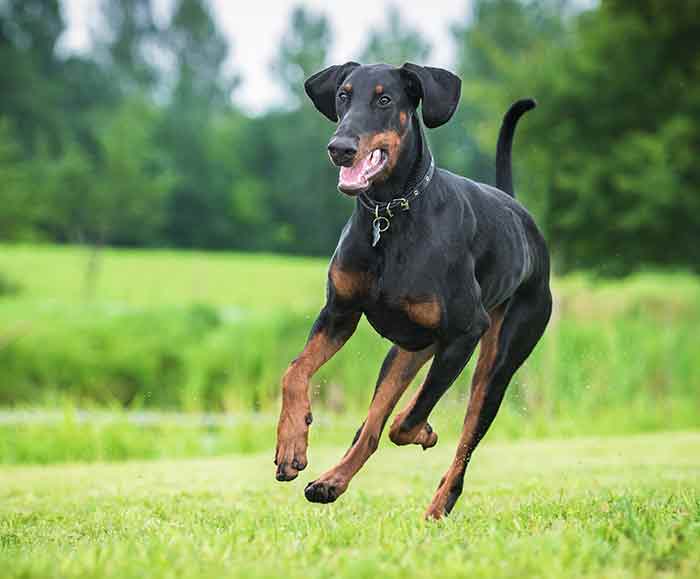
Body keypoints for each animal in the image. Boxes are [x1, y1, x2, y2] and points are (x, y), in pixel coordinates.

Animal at [274, 63, 552, 520]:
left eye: (385, 99)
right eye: (344, 95)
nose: (340, 148)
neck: (389, 216)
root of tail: (521, 216)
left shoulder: (465, 333)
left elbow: (406, 421)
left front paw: (424, 432)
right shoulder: (338, 314)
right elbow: (294, 372)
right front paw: (291, 445)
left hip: (497, 360)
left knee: (461, 441)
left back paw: (438, 505)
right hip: (407, 351)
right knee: (370, 426)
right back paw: (331, 482)